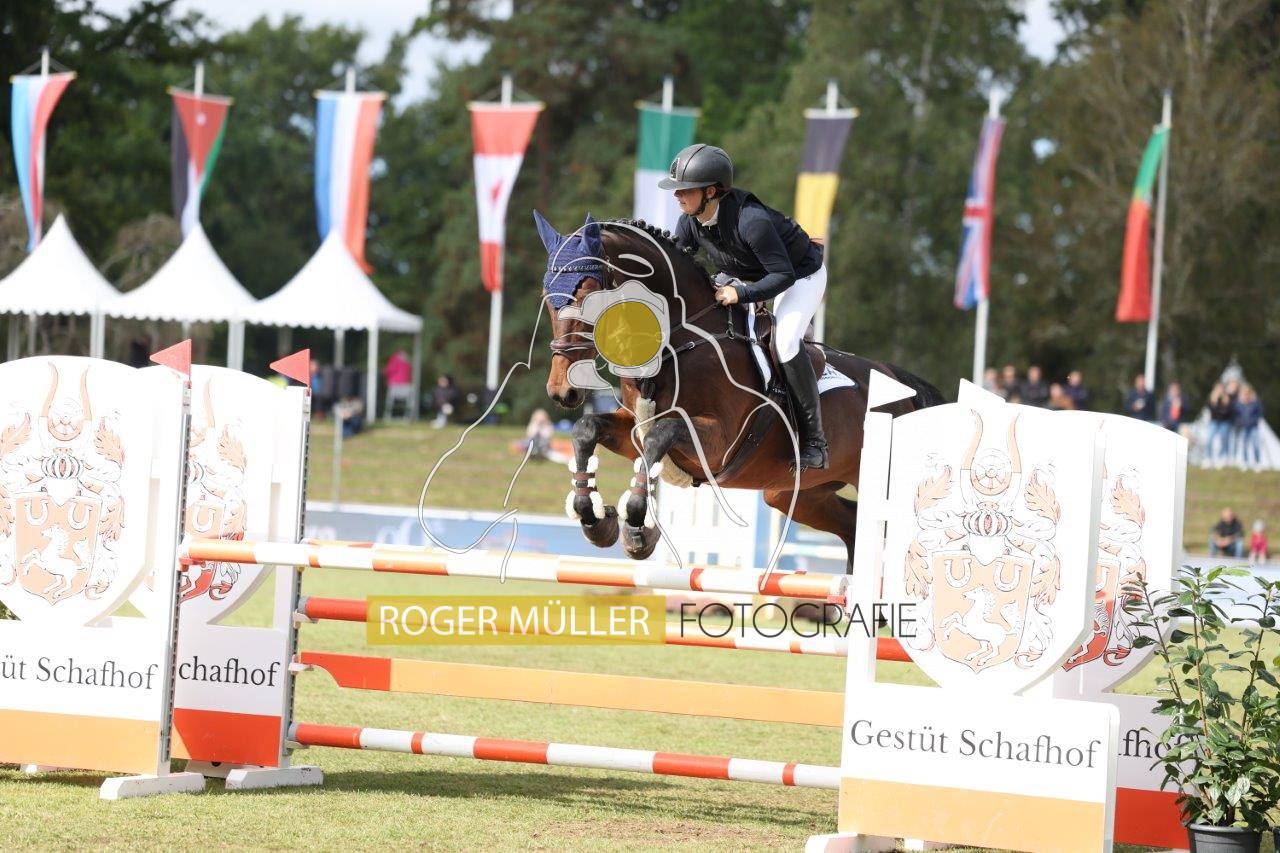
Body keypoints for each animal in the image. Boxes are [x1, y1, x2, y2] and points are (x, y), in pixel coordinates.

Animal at [536, 211, 945, 572]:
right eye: (546, 295)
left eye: (589, 292)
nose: (561, 391)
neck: (679, 339)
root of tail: (908, 391)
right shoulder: (631, 427)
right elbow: (588, 429)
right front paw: (595, 519)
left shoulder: (717, 443)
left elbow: (660, 436)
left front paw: (637, 528)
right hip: (793, 493)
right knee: (851, 524)